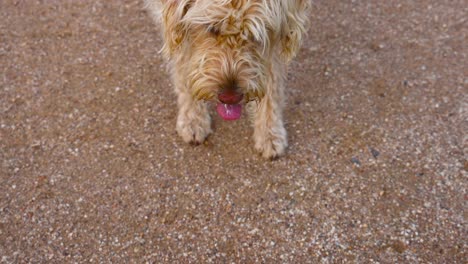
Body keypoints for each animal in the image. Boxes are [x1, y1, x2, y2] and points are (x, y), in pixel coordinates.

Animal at [144, 0, 308, 159]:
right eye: (211, 28)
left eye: (255, 35)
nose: (230, 98)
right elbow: (183, 63)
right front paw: (193, 118)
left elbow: (272, 82)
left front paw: (269, 132)